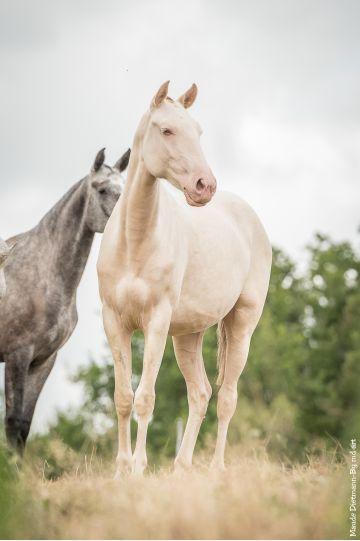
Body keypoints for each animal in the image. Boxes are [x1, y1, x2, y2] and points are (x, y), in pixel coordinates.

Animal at [0, 147, 129, 452]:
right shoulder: (17, 355)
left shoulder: (44, 359)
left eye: (124, 187)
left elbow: (23, 425)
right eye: (102, 189)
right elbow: (12, 422)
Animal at [97, 82, 272, 474]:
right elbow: (122, 397)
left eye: (199, 132)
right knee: (201, 393)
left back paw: (216, 470)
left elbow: (145, 397)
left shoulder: (156, 323)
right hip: (188, 335)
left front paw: (138, 468)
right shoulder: (115, 322)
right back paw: (181, 467)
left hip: (242, 325)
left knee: (226, 397)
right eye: (167, 130)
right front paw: (120, 470)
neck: (134, 242)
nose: (204, 185)